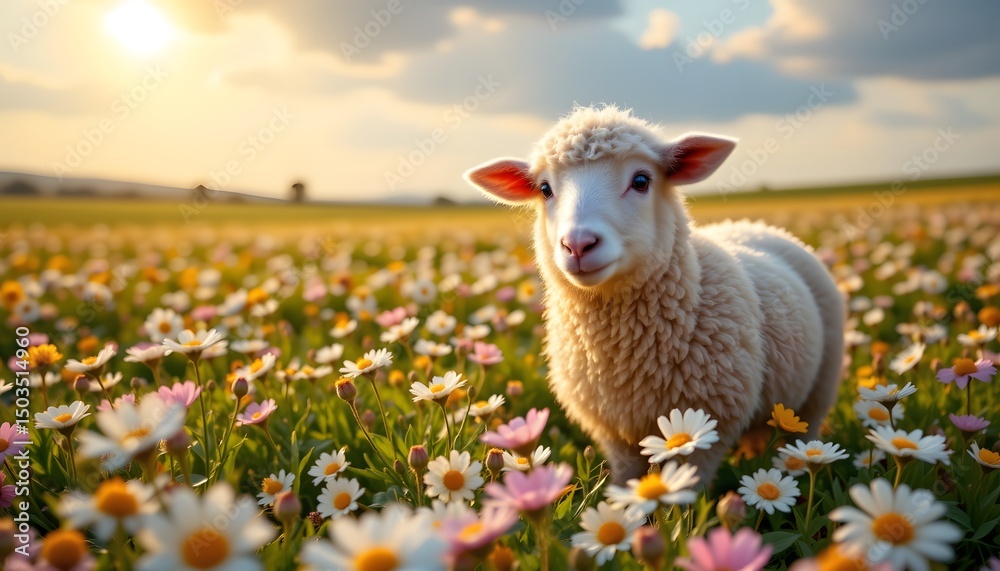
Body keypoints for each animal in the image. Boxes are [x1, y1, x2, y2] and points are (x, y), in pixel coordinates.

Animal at [464, 105, 844, 486]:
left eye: (641, 181)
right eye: (545, 189)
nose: (578, 244)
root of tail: (757, 225)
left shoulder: (707, 427)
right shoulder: (615, 433)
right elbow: (627, 484)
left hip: (818, 392)